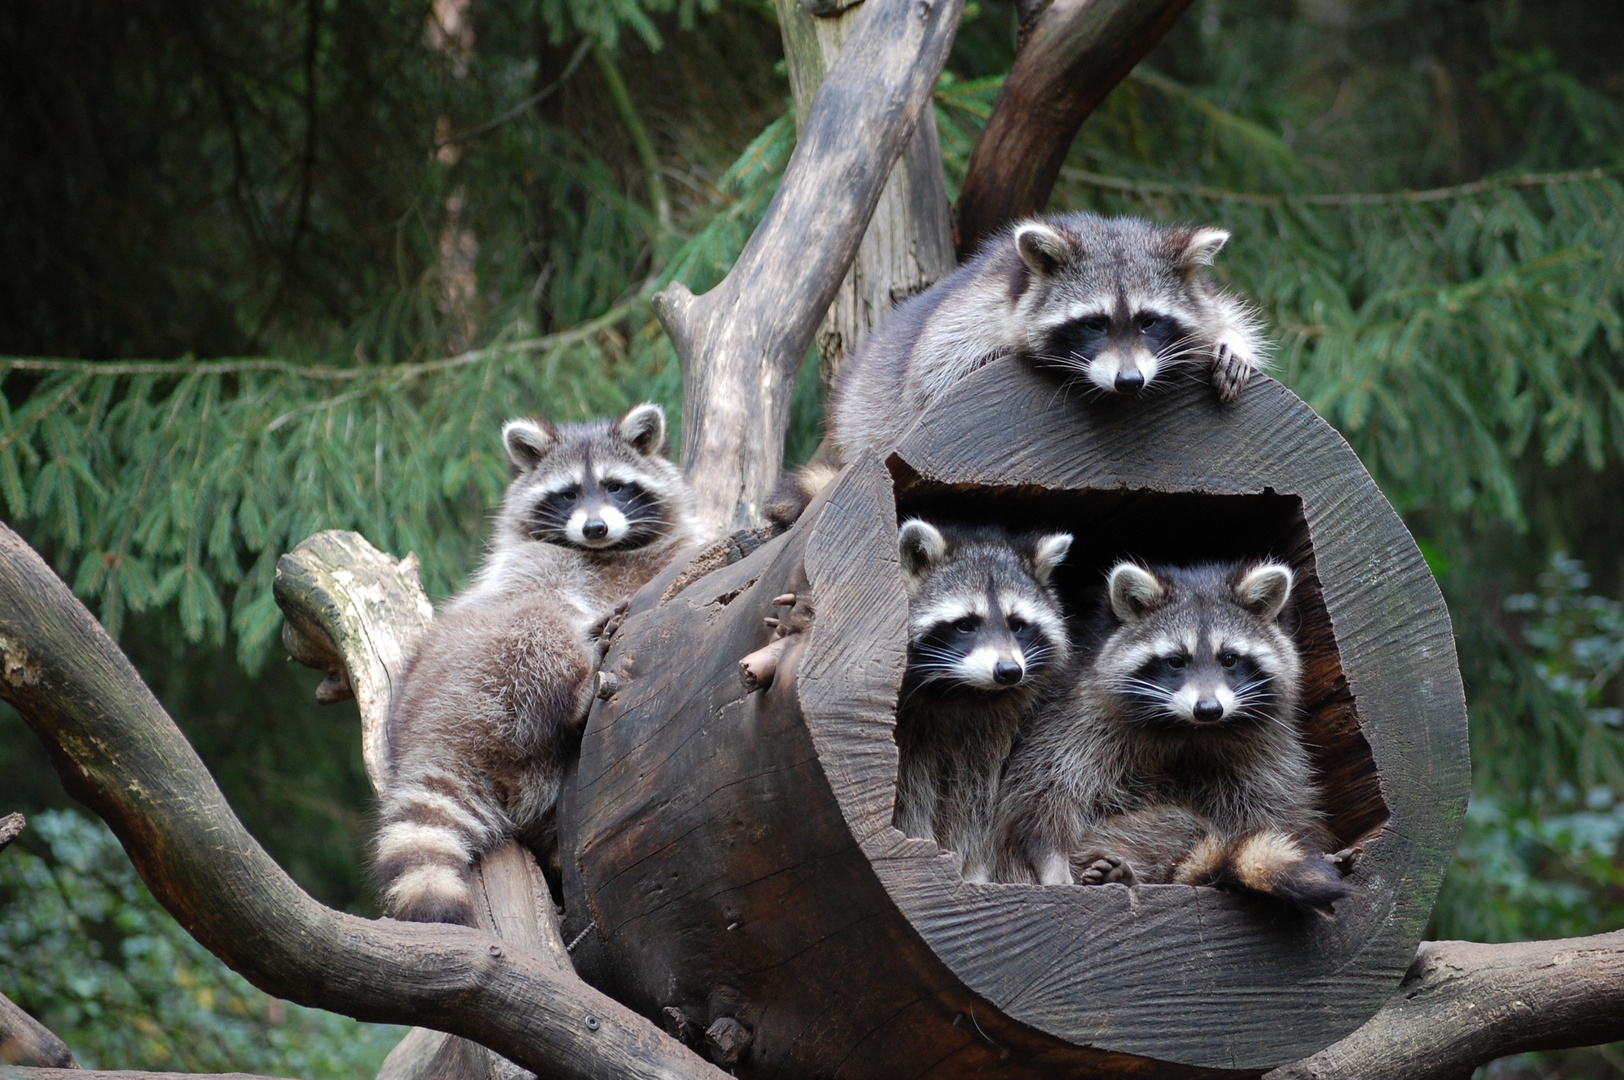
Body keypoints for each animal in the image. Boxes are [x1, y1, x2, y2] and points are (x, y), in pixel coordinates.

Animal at [373, 399, 704, 922]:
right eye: (568, 494)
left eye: (615, 486)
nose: (595, 528)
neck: (606, 549)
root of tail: (430, 736)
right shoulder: (542, 562)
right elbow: (539, 587)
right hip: (482, 661)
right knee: (538, 624)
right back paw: (573, 693)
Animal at [889, 519, 1078, 883]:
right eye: (965, 625)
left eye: (1017, 625)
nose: (1009, 671)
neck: (961, 691)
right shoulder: (911, 730)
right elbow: (910, 789)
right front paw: (919, 845)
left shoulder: (989, 729)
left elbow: (978, 797)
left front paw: (973, 868)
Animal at [993, 555, 1351, 909]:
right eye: (1176, 661)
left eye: (1230, 659)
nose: (1208, 708)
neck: (1189, 730)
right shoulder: (1078, 717)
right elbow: (1044, 791)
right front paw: (1052, 860)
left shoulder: (1265, 744)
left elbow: (1279, 801)